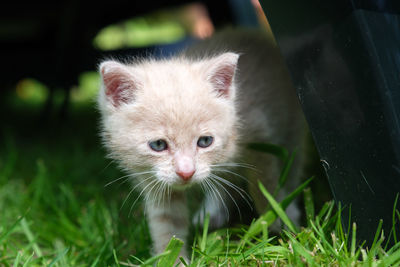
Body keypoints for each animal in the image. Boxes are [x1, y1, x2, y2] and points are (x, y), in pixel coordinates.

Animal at [97, 28, 306, 258]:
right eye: (158, 145)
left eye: (205, 141)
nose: (186, 172)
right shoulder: (155, 180)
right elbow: (167, 224)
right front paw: (174, 258)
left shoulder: (260, 137)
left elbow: (265, 186)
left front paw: (281, 224)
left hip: (293, 123)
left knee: (292, 164)